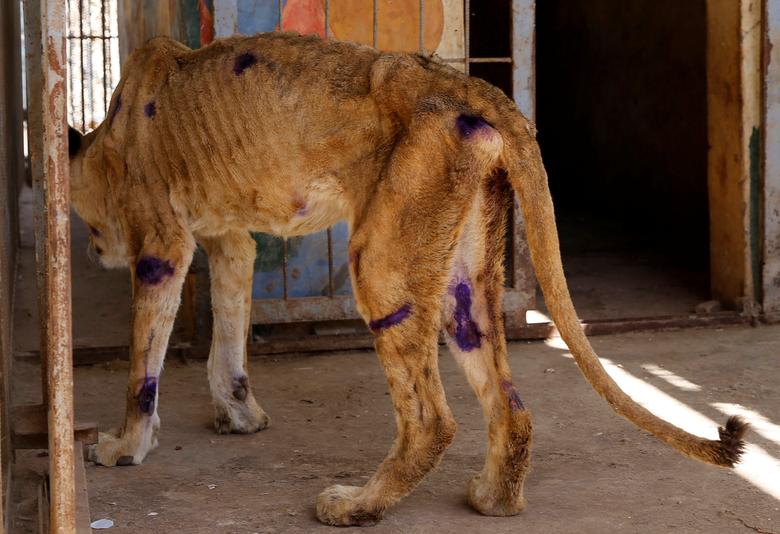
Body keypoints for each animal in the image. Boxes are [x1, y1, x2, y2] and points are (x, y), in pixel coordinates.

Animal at [67, 32, 747, 526]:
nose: (95, 249)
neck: (108, 134)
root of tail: (465, 81)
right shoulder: (232, 243)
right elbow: (228, 340)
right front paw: (238, 414)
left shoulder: (162, 245)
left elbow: (142, 365)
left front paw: (123, 448)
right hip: (463, 280)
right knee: (510, 404)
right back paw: (493, 499)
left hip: (382, 263)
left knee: (430, 420)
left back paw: (354, 506)